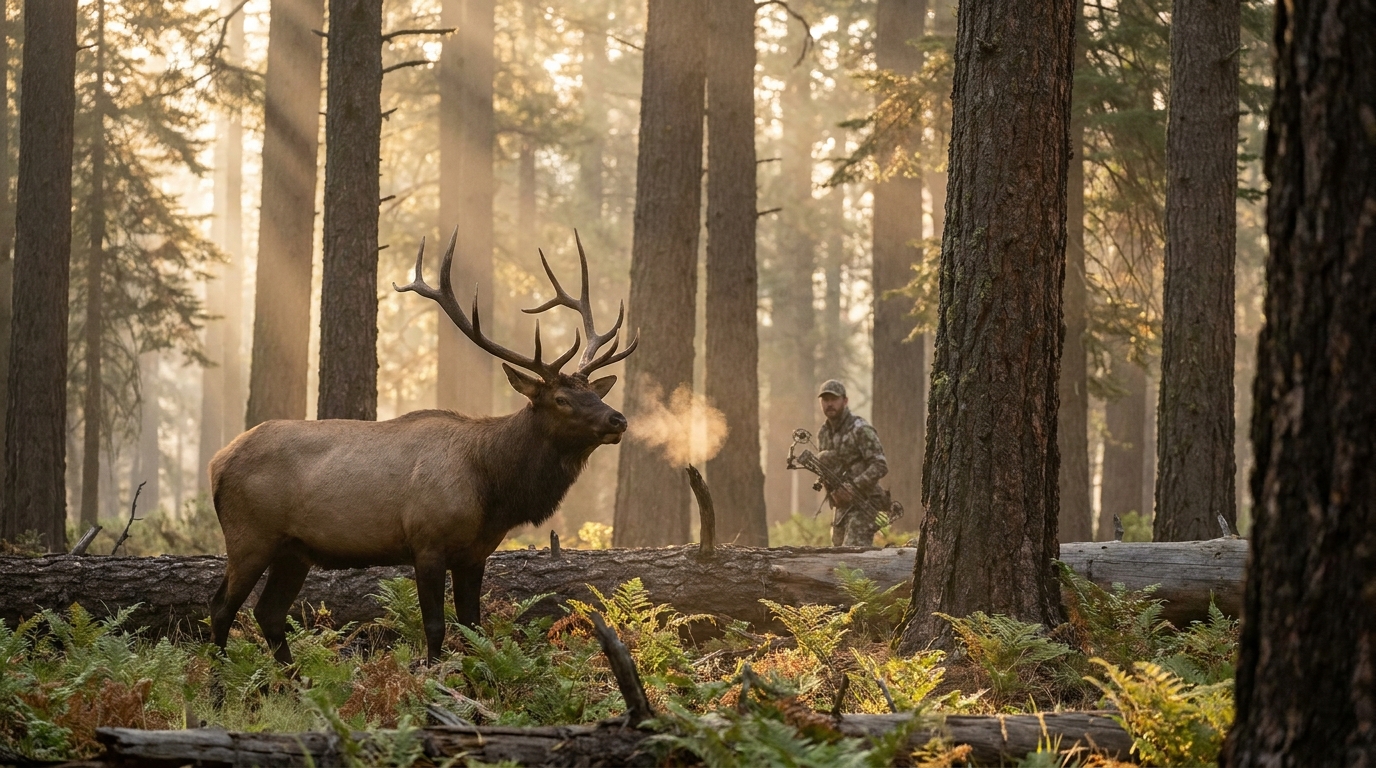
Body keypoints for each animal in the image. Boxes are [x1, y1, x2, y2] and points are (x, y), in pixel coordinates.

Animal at [207, 230, 637, 664]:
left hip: (294, 550)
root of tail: (218, 462)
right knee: (222, 606)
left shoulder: (475, 554)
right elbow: (436, 627)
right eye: (561, 399)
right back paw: (218, 676)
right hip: (249, 535)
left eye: (593, 393)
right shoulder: (427, 541)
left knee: (268, 612)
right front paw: (433, 674)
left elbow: (473, 626)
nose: (618, 419)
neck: (493, 491)